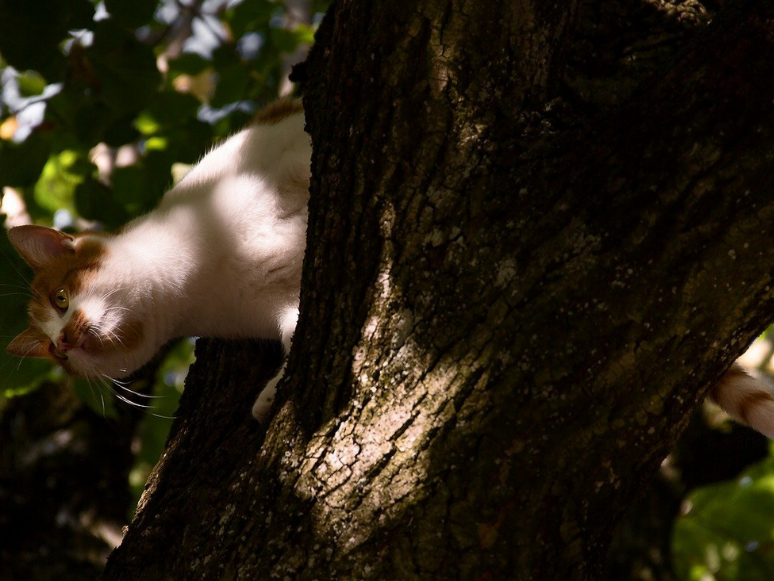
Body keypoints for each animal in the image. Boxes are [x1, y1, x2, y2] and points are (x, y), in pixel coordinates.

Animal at [6, 97, 310, 420]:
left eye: (60, 299)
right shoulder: (273, 308)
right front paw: (270, 394)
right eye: (57, 354)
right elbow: (292, 334)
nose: (63, 339)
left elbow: (303, 158)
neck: (196, 275)